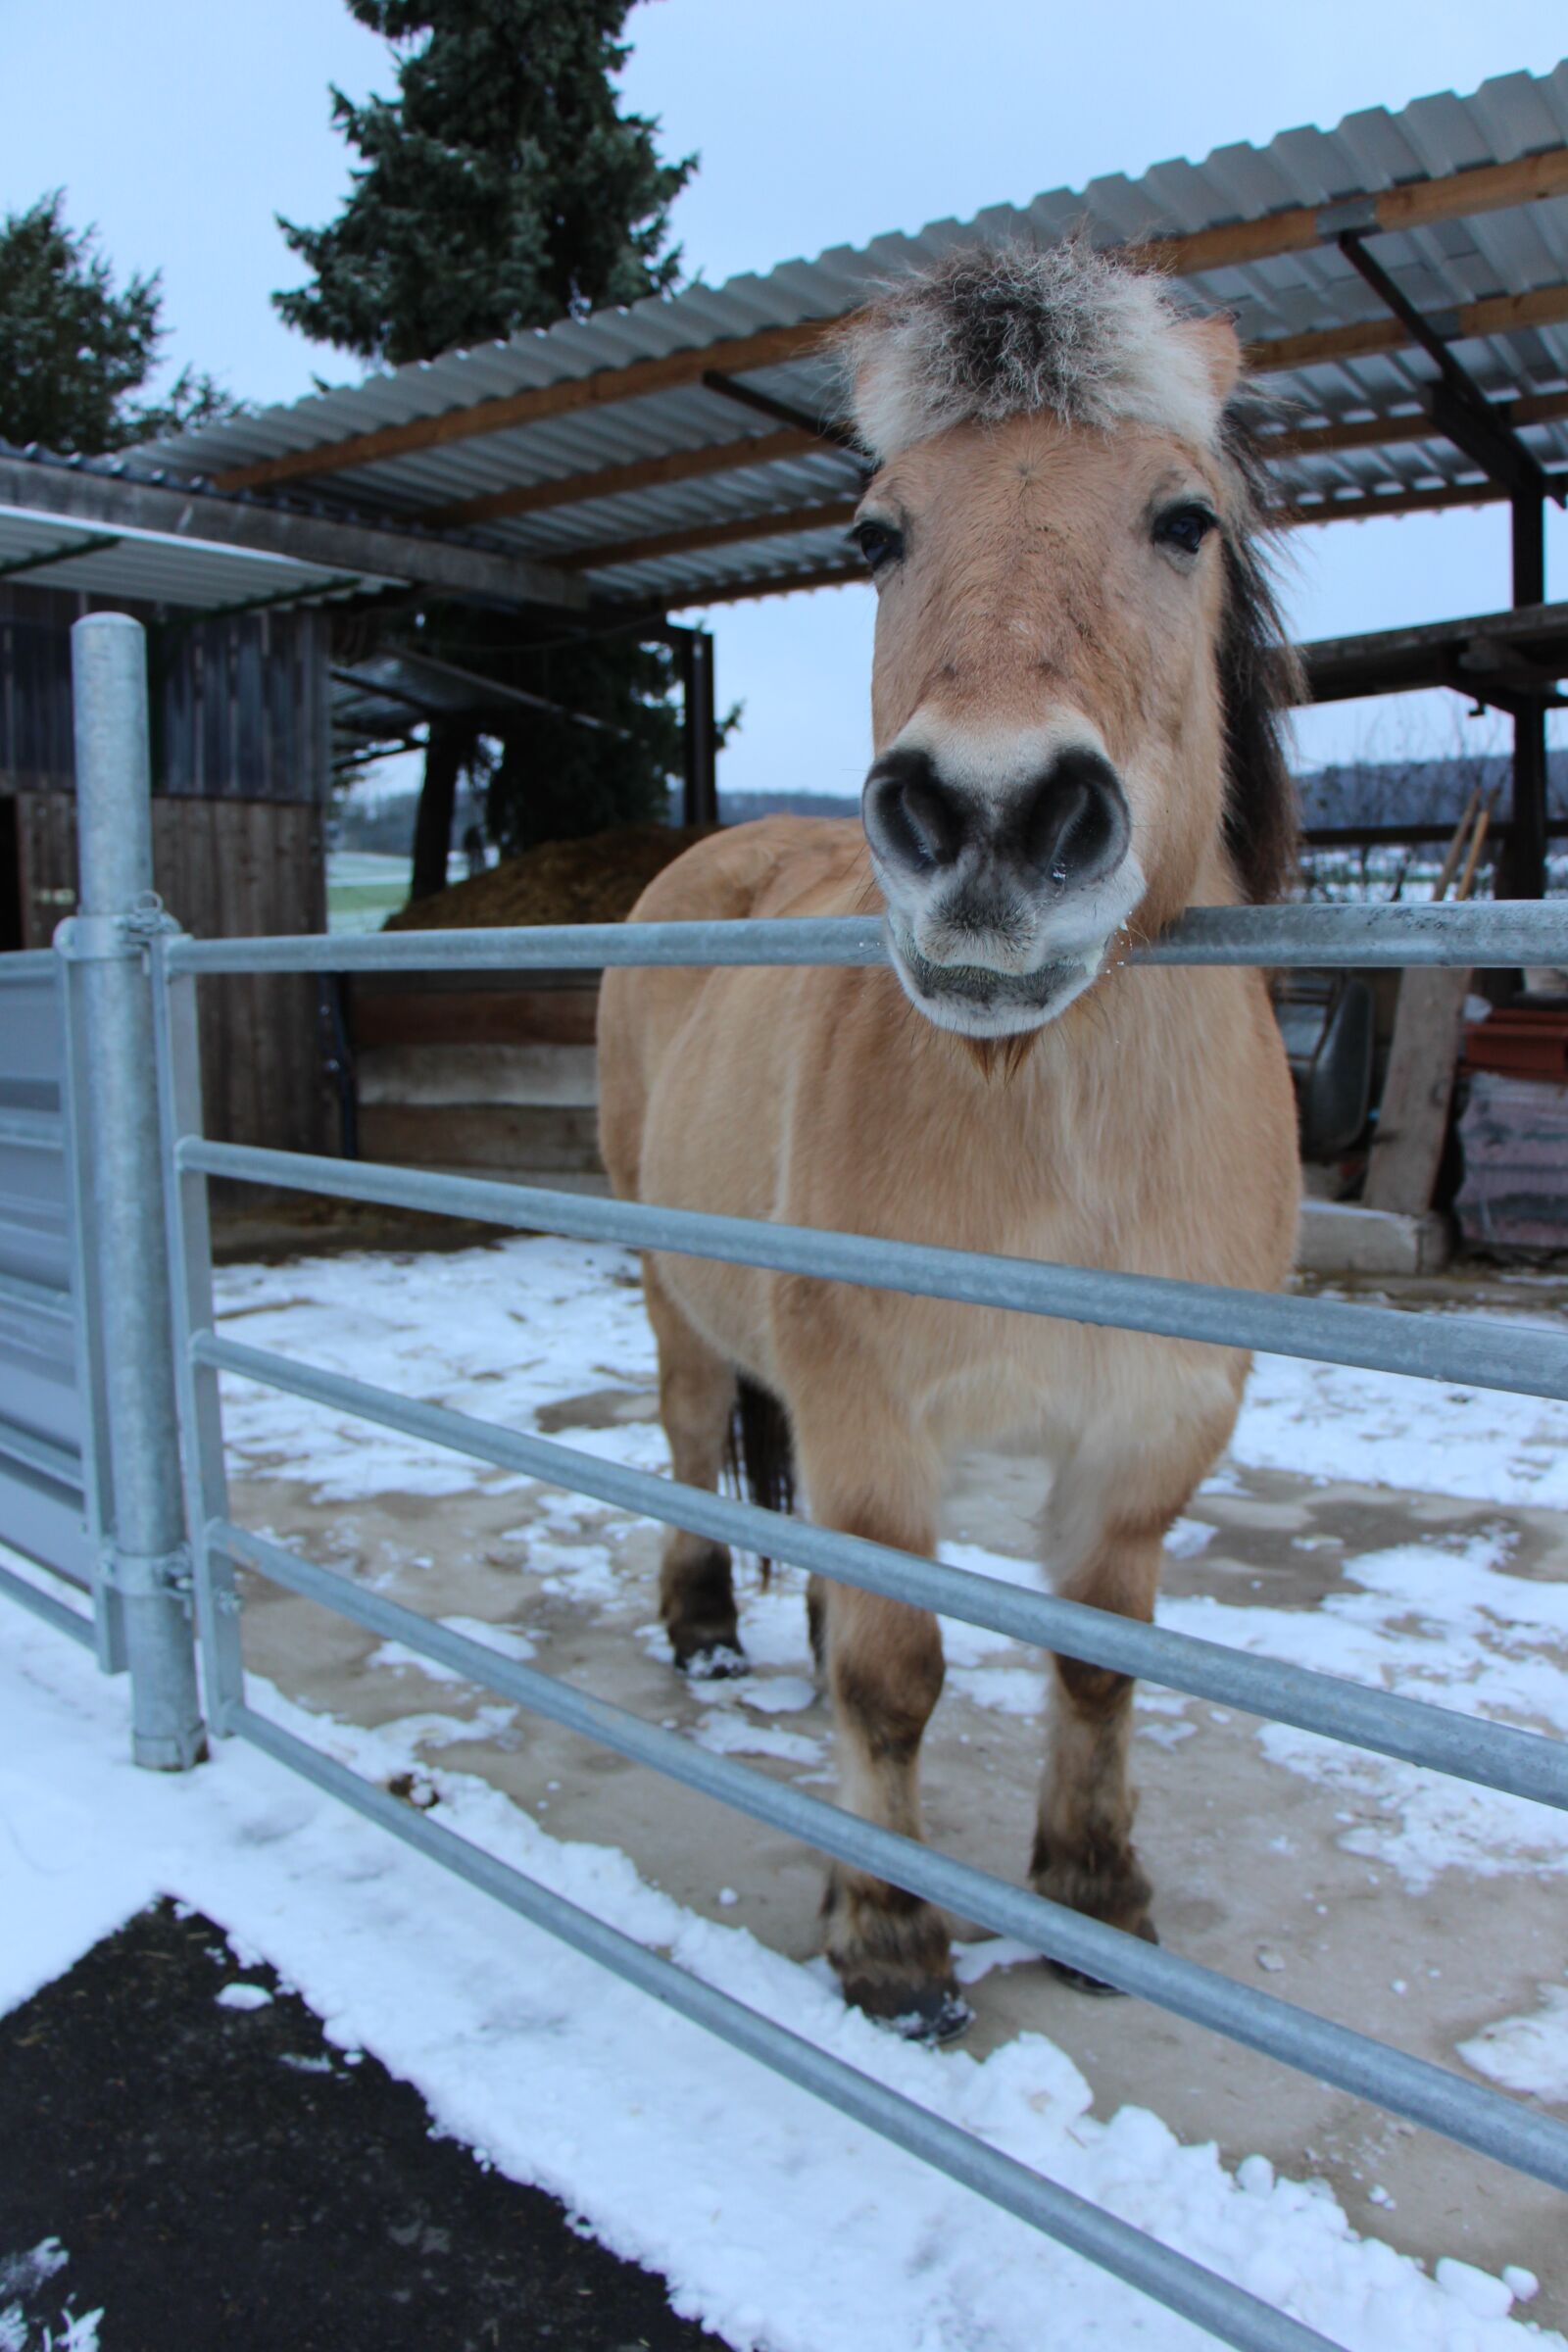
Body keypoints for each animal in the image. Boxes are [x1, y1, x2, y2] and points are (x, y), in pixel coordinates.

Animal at [598, 242, 1301, 2041]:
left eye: (1183, 519)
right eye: (876, 534)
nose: (990, 817)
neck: (1057, 1156)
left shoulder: (1146, 1439)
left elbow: (1100, 1663)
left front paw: (1093, 1900)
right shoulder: (871, 1424)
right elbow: (893, 1680)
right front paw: (890, 1942)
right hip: (675, 1288)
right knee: (694, 1444)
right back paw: (703, 1633)